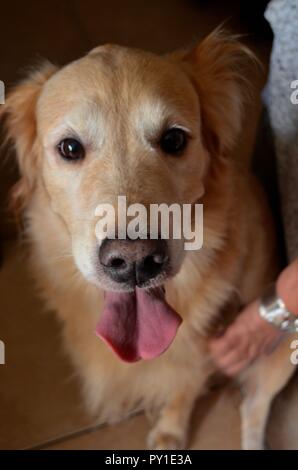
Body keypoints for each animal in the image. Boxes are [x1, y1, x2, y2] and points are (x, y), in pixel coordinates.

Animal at [1, 28, 296, 448]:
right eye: (70, 147)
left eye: (173, 140)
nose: (135, 261)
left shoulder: (204, 347)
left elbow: (183, 388)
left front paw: (170, 431)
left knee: (254, 407)